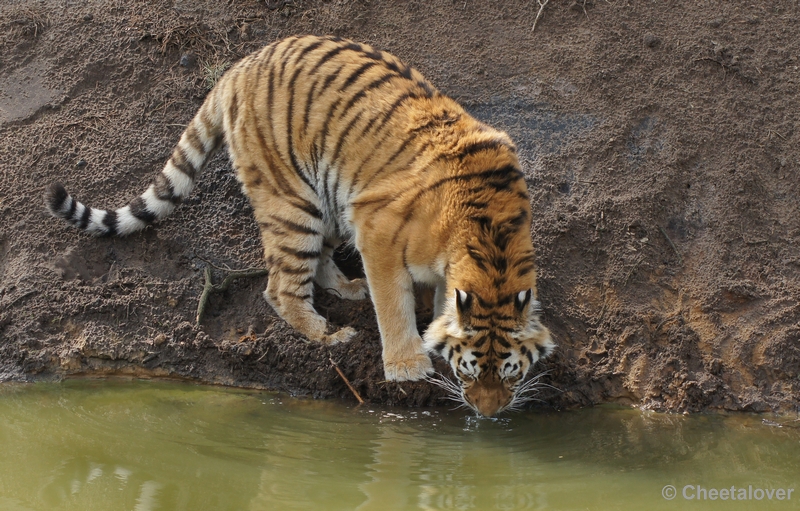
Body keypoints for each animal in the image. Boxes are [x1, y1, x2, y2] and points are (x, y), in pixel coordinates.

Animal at [47, 37, 552, 420]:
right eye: (469, 371)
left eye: (510, 373)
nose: (488, 414)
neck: (492, 245)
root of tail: (240, 66)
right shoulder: (377, 229)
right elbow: (393, 303)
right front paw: (408, 364)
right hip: (292, 203)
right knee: (280, 287)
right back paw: (328, 334)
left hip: (330, 196)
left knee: (320, 261)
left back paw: (349, 288)